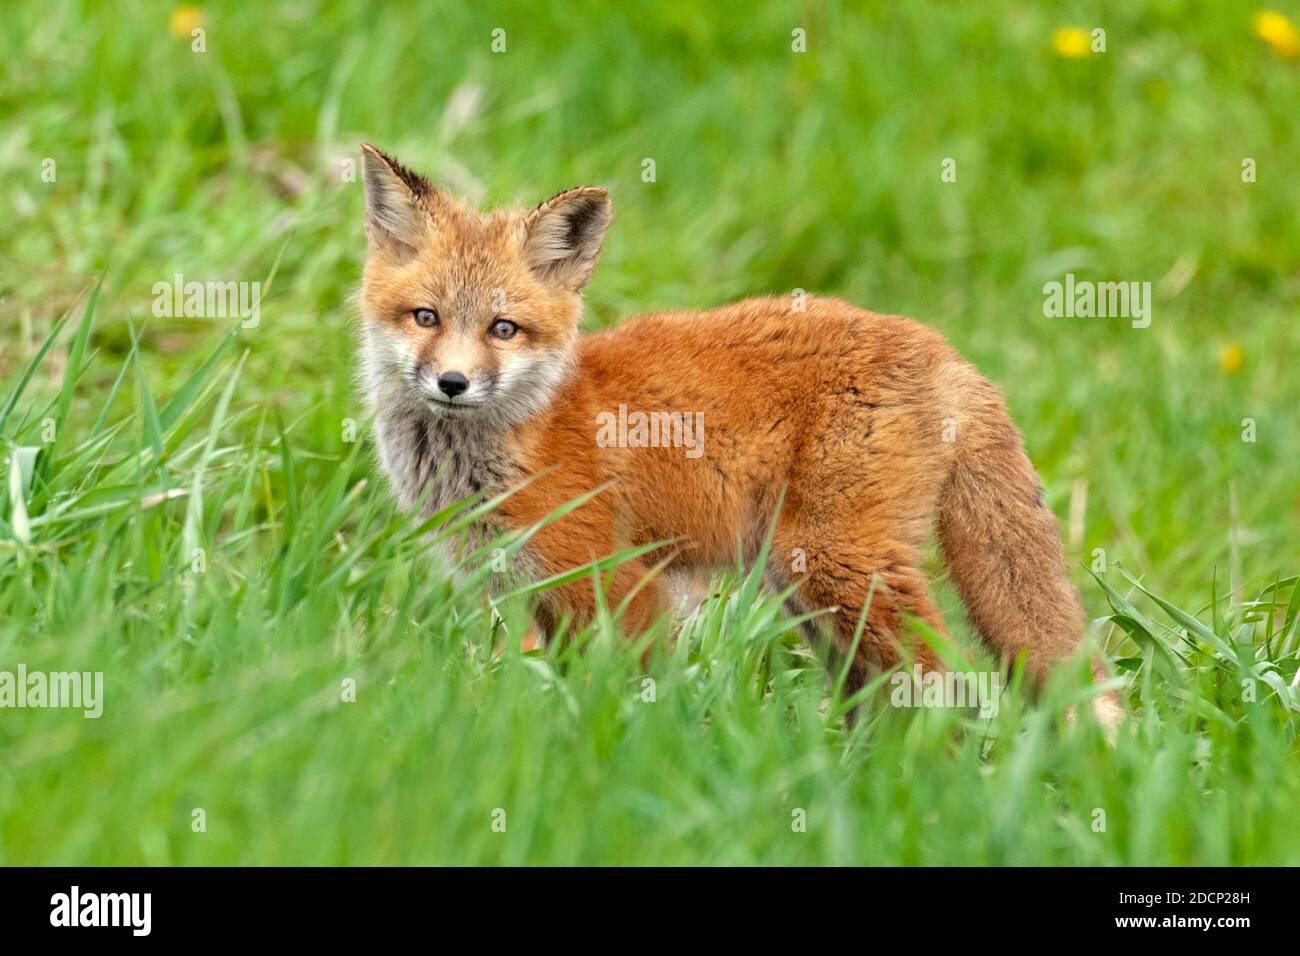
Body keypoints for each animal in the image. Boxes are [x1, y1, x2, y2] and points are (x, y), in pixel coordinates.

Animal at [356, 143, 1121, 727]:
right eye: (425, 317)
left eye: (503, 329)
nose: (452, 383)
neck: (524, 435)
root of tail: (938, 345)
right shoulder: (547, 597)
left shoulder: (617, 579)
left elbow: (629, 691)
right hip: (808, 591)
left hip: (841, 566)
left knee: (945, 688)